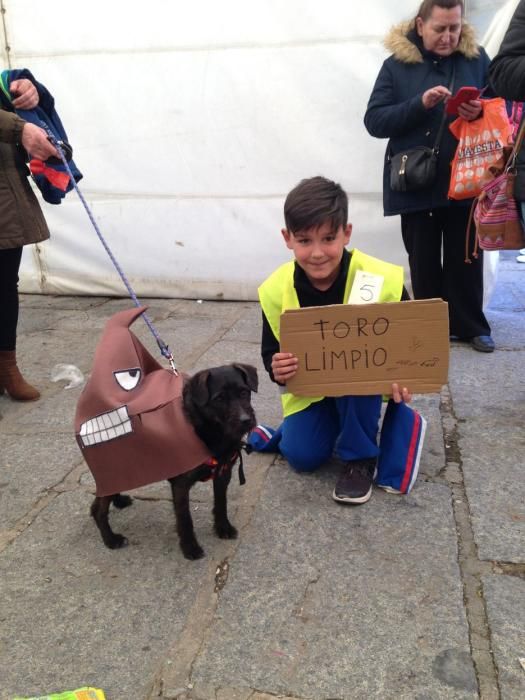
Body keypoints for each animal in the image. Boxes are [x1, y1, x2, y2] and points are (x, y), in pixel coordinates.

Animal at [90, 364, 258, 560]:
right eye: (220, 398)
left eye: (244, 392)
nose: (246, 420)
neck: (205, 429)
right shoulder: (180, 486)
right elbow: (185, 519)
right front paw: (190, 548)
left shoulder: (223, 474)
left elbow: (221, 503)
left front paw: (223, 528)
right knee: (98, 509)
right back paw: (110, 539)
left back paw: (119, 501)